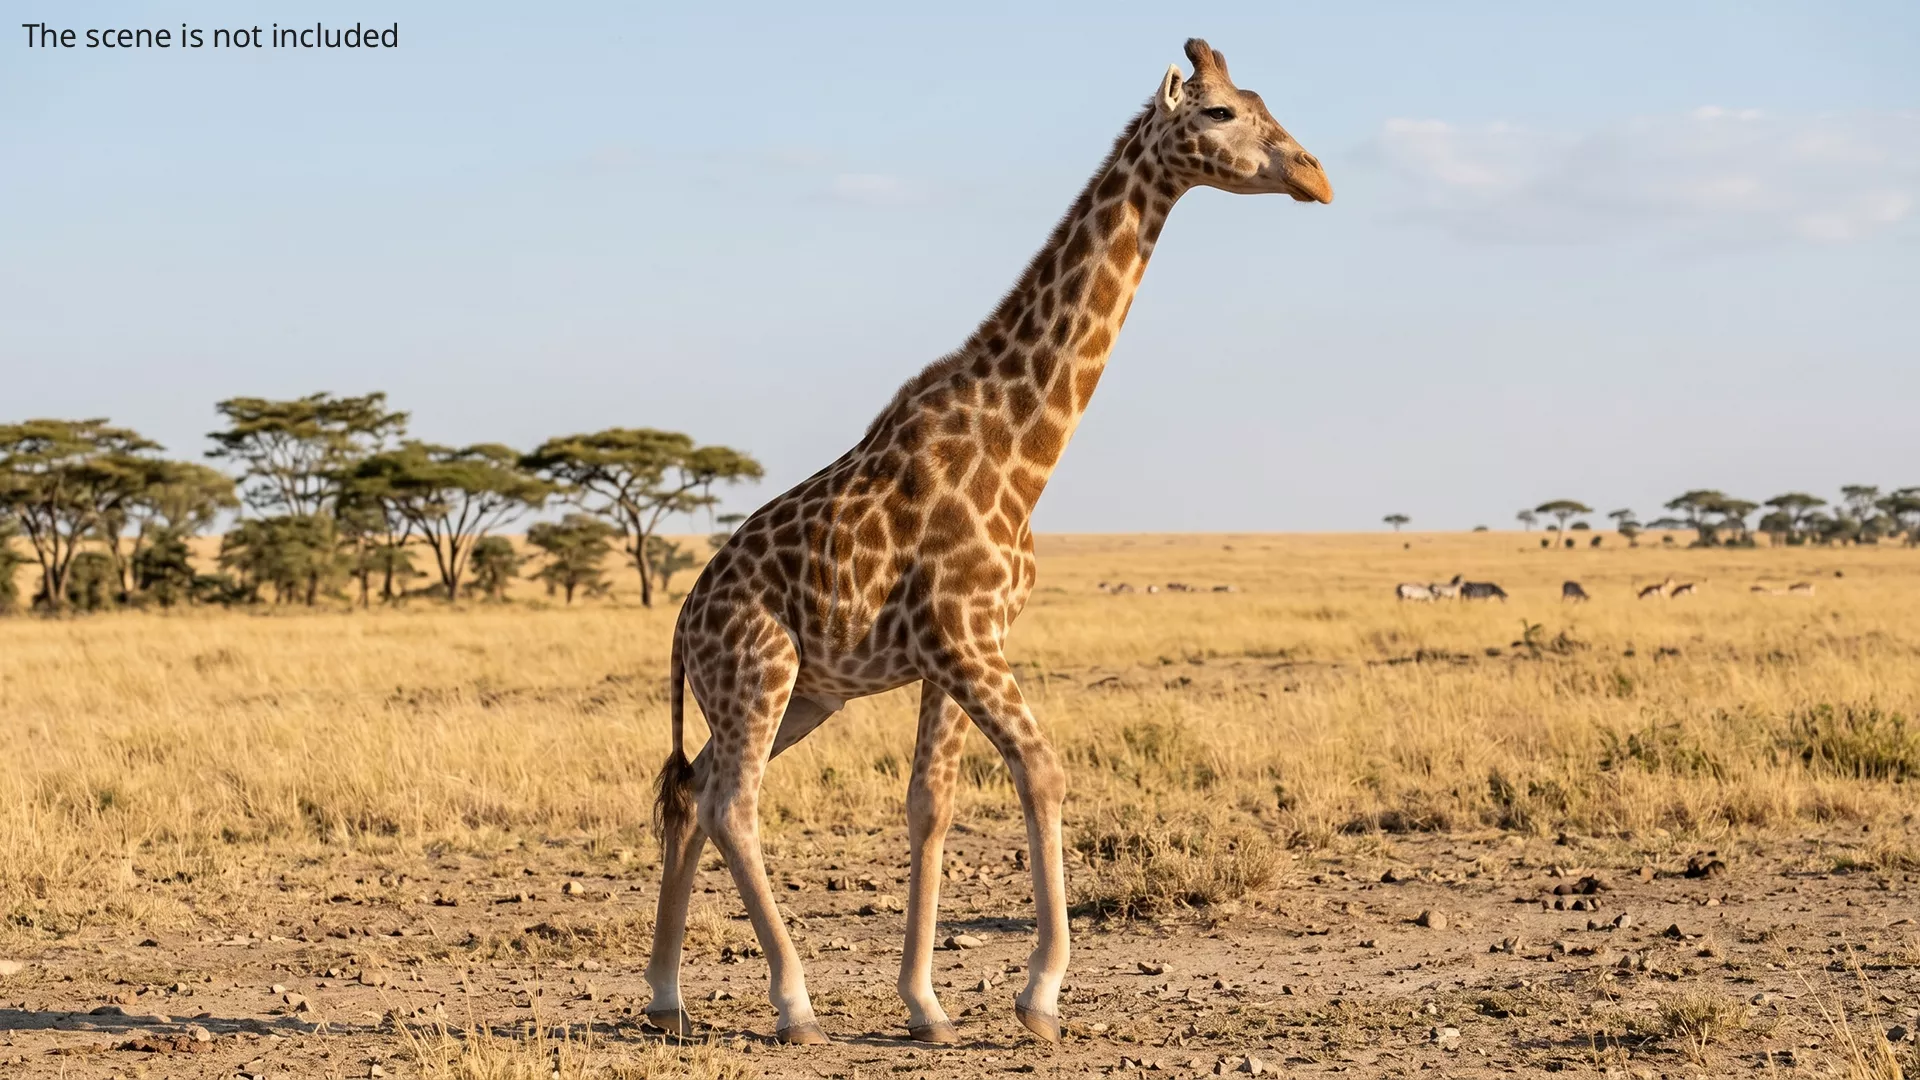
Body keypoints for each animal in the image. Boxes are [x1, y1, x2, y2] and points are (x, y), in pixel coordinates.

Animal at [642, 38, 1332, 1047]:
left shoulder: (956, 649)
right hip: (760, 671)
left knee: (694, 792)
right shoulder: (968, 640)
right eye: (1218, 113)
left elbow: (931, 806)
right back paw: (793, 1002)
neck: (1023, 450)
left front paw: (926, 1005)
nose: (1316, 176)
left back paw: (665, 996)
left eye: (1261, 100)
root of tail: (683, 624)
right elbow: (1043, 772)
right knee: (735, 804)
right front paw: (1040, 995)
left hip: (804, 692)